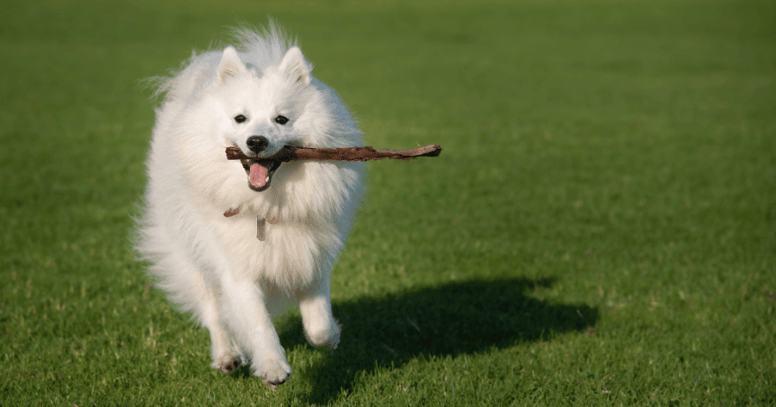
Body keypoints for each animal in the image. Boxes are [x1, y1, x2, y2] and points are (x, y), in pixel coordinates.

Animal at [135, 27, 366, 388]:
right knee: (212, 311)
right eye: (240, 118)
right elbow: (258, 323)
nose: (256, 141)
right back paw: (227, 356)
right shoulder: (237, 270)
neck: (268, 206)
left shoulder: (310, 260)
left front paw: (331, 338)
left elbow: (317, 324)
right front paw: (272, 367)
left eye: (281, 119)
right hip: (190, 255)